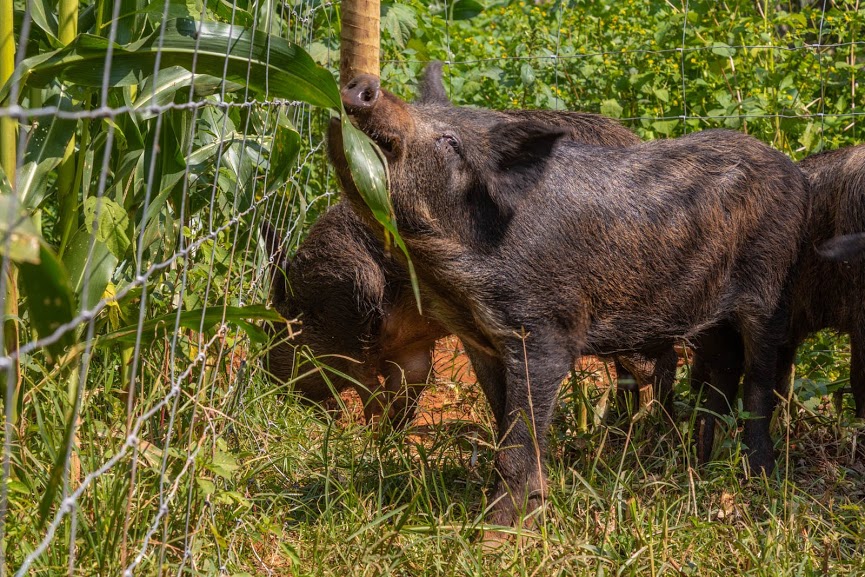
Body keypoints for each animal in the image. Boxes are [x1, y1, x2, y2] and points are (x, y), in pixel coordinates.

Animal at [330, 72, 808, 528]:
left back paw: (760, 478)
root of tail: (790, 170)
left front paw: (496, 533)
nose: (363, 86)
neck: (452, 279)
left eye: (450, 142)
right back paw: (698, 463)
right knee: (719, 373)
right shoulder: (479, 340)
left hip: (768, 290)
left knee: (759, 385)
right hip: (708, 316)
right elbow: (503, 421)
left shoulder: (545, 330)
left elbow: (519, 438)